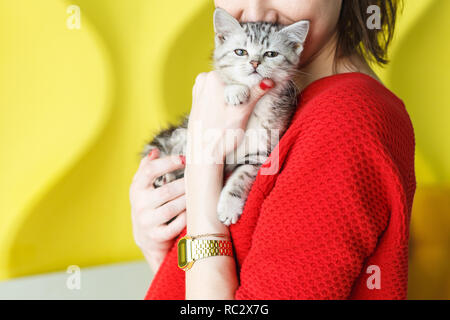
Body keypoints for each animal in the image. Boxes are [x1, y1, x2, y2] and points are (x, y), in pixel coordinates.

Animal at [142, 8, 310, 226]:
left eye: (271, 54)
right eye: (240, 52)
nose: (254, 63)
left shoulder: (260, 151)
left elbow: (241, 176)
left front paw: (229, 207)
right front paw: (236, 90)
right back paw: (165, 177)